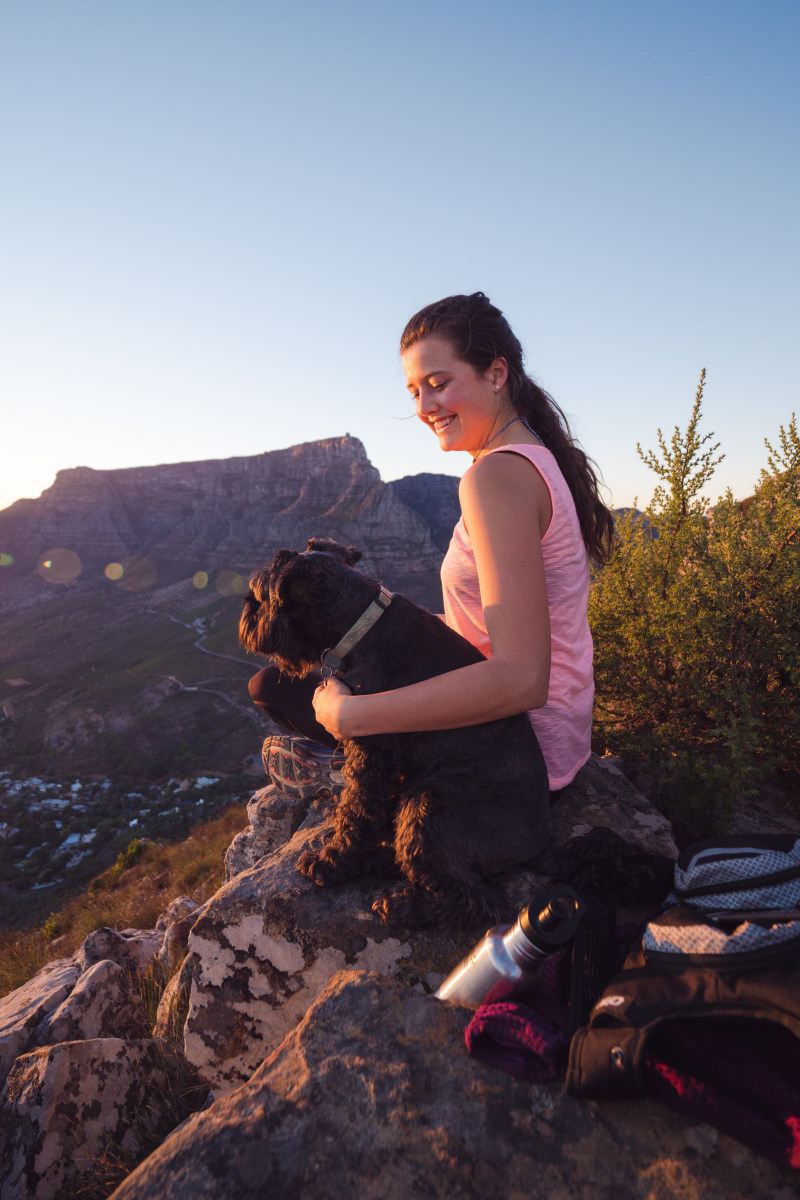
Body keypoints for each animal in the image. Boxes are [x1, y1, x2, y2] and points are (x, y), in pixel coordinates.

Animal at [237, 540, 551, 931]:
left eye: (261, 591)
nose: (246, 612)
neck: (362, 625)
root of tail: (541, 841)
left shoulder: (371, 747)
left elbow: (355, 809)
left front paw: (331, 862)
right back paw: (380, 858)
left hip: (429, 804)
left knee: (477, 901)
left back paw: (401, 905)